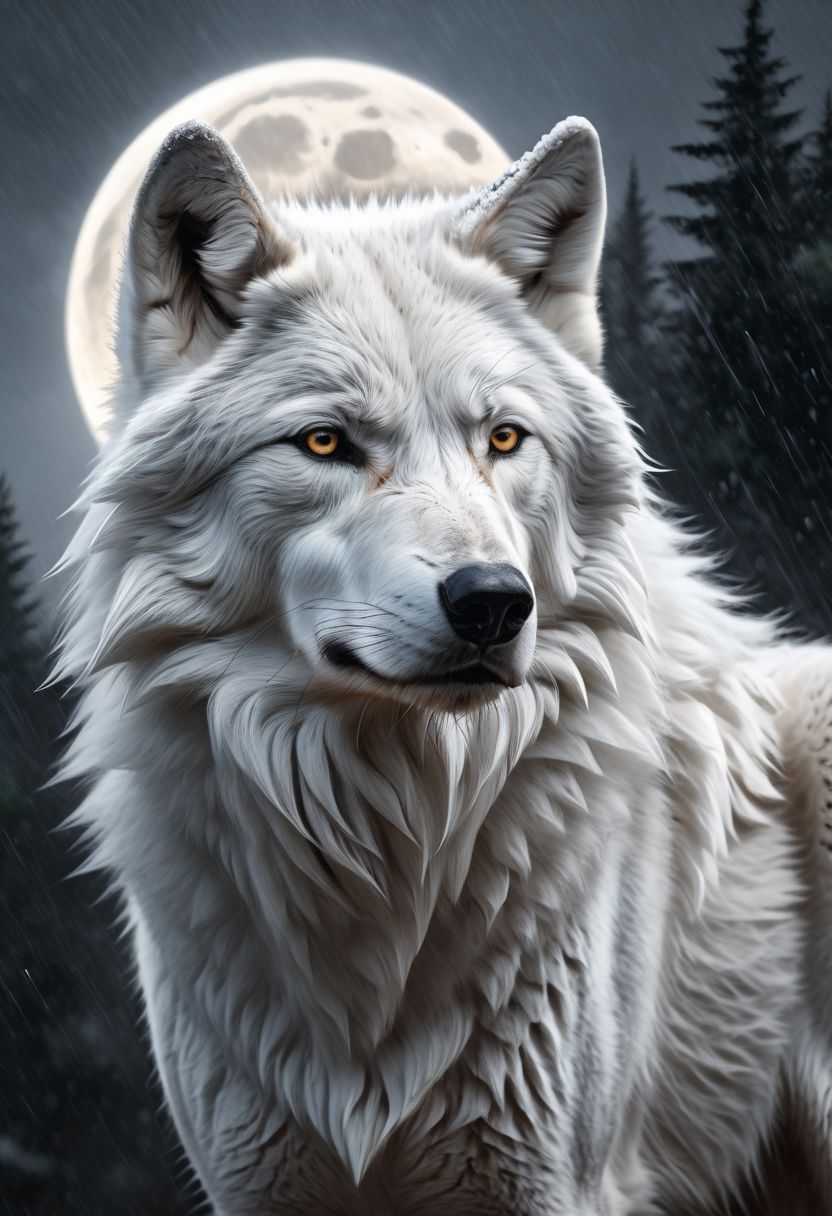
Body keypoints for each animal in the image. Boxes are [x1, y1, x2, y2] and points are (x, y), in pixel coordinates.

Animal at [55, 115, 832, 1214]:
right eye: (325, 442)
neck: (390, 831)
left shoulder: (550, 1181)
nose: (495, 601)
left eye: (502, 437)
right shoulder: (260, 1184)